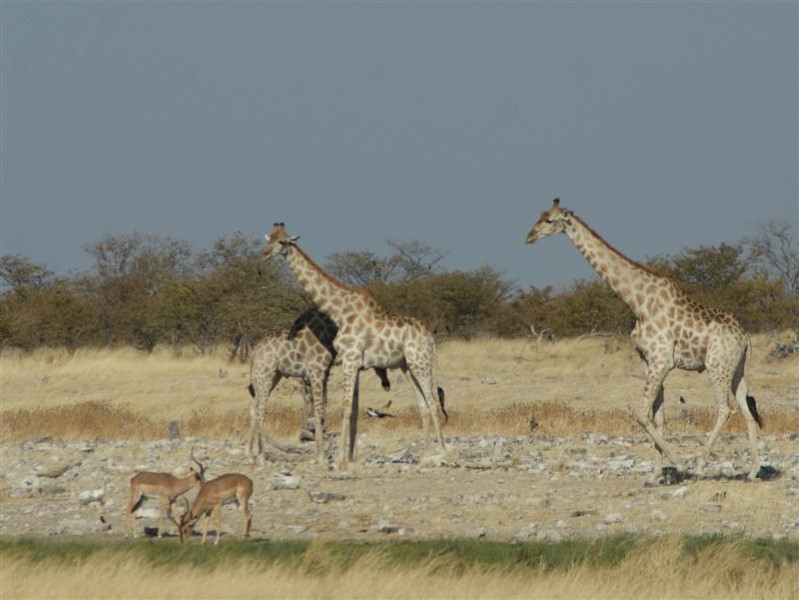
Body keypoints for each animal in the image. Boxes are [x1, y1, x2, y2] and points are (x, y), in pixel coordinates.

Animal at [247, 304, 390, 464]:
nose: (386, 383)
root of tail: (254, 352)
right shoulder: (315, 372)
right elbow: (318, 412)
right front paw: (321, 457)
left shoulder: (324, 373)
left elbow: (323, 412)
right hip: (265, 373)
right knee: (261, 409)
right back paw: (261, 456)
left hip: (272, 376)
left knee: (254, 406)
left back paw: (251, 453)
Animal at [264, 221, 446, 468]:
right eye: (268, 239)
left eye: (282, 242)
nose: (264, 255)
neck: (339, 312)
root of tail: (430, 338)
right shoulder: (356, 364)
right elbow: (353, 411)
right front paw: (349, 458)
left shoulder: (349, 360)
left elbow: (344, 409)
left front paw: (340, 460)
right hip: (408, 366)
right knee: (423, 405)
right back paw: (425, 457)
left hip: (421, 363)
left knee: (434, 402)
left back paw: (444, 453)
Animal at [524, 199, 764, 480]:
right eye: (540, 216)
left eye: (549, 220)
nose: (529, 236)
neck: (637, 303)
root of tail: (745, 337)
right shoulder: (648, 362)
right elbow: (656, 416)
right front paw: (655, 474)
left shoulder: (662, 361)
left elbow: (640, 413)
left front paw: (677, 463)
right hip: (737, 369)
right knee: (747, 410)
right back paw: (752, 471)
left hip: (717, 366)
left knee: (726, 408)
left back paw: (699, 464)